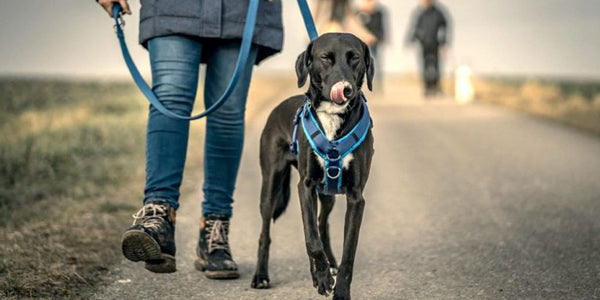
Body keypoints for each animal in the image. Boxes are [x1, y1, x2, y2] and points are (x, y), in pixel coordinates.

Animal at [250, 31, 372, 298]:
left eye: (355, 58)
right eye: (325, 58)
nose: (346, 89)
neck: (333, 117)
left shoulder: (356, 197)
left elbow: (348, 250)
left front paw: (340, 289)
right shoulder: (304, 187)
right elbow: (311, 241)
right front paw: (323, 279)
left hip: (327, 194)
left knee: (321, 223)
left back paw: (325, 266)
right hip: (271, 186)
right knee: (267, 233)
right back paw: (261, 276)